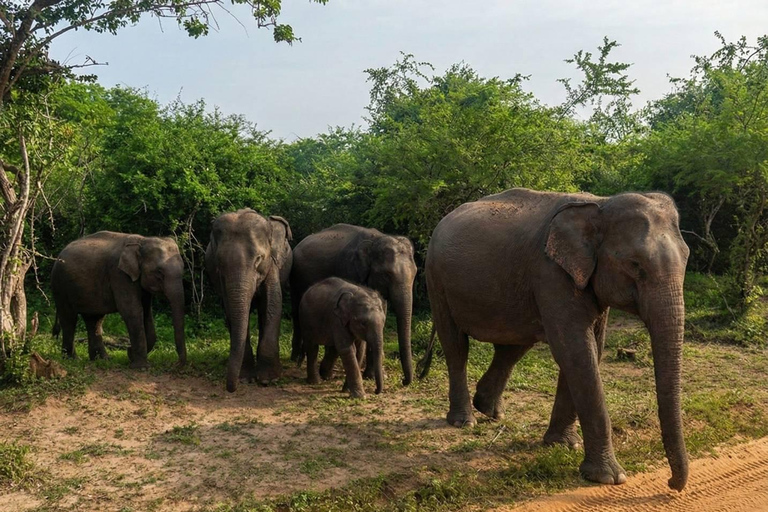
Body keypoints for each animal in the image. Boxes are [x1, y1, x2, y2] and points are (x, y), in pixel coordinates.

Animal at [51, 231, 187, 368]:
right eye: (159, 272)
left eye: (183, 269)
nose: (176, 364)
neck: (142, 241)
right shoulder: (119, 274)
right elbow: (132, 310)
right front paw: (141, 366)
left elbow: (146, 313)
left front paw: (131, 356)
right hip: (60, 285)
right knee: (69, 318)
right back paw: (72, 359)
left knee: (94, 319)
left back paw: (102, 360)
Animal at [205, 209, 292, 392]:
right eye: (219, 263)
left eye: (259, 258)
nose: (231, 389)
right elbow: (230, 310)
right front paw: (245, 378)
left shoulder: (272, 265)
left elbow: (273, 304)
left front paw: (268, 380)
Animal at [289, 224, 417, 385]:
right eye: (386, 274)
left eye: (415, 273)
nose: (403, 381)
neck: (376, 239)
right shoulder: (348, 268)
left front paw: (371, 376)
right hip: (295, 277)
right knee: (296, 313)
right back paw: (297, 359)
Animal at [423, 188, 690, 491]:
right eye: (634, 265)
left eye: (686, 258)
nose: (672, 483)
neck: (601, 204)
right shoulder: (551, 273)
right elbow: (576, 351)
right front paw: (609, 477)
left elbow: (588, 350)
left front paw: (562, 445)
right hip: (436, 279)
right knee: (456, 345)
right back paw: (464, 422)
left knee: (513, 347)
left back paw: (490, 410)